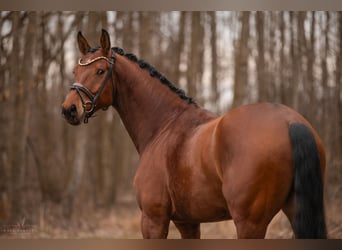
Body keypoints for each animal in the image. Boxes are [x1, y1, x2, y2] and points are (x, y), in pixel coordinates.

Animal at [61, 29, 326, 238]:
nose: (69, 109)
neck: (164, 125)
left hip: (250, 223)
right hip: (295, 211)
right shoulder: (187, 222)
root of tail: (290, 121)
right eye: (74, 70)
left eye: (100, 70)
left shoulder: (153, 220)